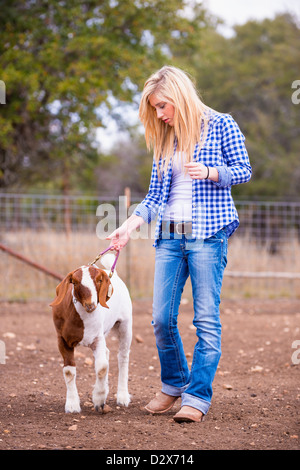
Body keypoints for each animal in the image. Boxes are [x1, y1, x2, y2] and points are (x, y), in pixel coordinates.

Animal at [49, 255, 132, 414]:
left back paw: (123, 396)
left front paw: (99, 400)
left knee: (123, 357)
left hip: (125, 324)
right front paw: (72, 405)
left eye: (99, 280)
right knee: (107, 352)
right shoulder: (62, 340)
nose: (90, 305)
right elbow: (69, 371)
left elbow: (102, 367)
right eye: (74, 282)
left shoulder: (97, 338)